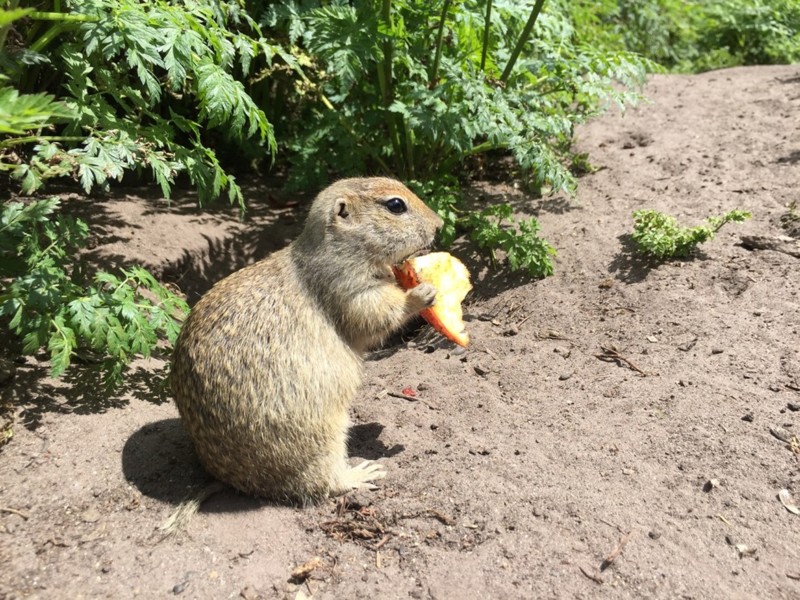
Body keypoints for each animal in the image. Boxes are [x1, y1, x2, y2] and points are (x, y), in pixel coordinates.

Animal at [172, 179, 444, 506]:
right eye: (395, 205)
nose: (439, 224)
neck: (333, 248)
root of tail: (236, 481)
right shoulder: (348, 286)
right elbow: (374, 313)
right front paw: (421, 292)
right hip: (323, 436)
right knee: (324, 484)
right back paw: (360, 474)